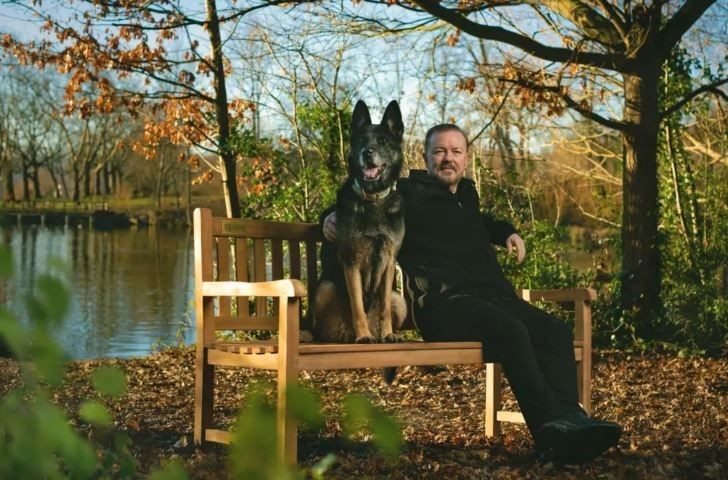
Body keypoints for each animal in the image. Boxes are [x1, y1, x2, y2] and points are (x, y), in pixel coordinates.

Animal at [312, 99, 406, 344]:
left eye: (383, 141)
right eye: (362, 140)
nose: (367, 152)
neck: (372, 199)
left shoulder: (389, 261)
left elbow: (384, 307)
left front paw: (388, 333)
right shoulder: (351, 261)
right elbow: (357, 306)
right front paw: (363, 335)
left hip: (400, 300)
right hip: (325, 287)